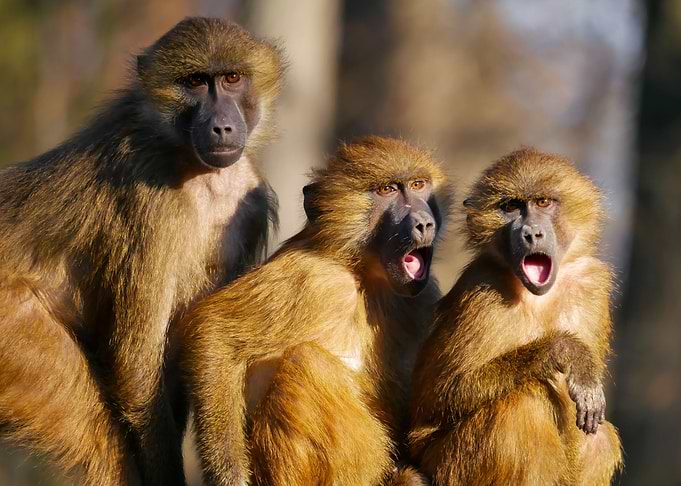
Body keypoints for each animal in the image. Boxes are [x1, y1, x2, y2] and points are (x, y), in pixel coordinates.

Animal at [0, 17, 284, 485]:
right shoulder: (151, 198)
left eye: (232, 78)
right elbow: (137, 366)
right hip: (15, 329)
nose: (222, 127)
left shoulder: (251, 206)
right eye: (195, 82)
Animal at [180, 136, 453, 486]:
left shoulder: (423, 295)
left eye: (418, 185)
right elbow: (214, 331)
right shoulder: (313, 278)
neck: (362, 275)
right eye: (388, 190)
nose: (424, 222)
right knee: (306, 362)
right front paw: (230, 475)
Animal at [408, 148, 623, 485]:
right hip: (447, 465)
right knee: (522, 406)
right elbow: (439, 394)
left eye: (543, 202)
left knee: (599, 438)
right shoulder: (482, 293)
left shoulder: (591, 285)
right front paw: (567, 352)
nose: (531, 233)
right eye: (511, 207)